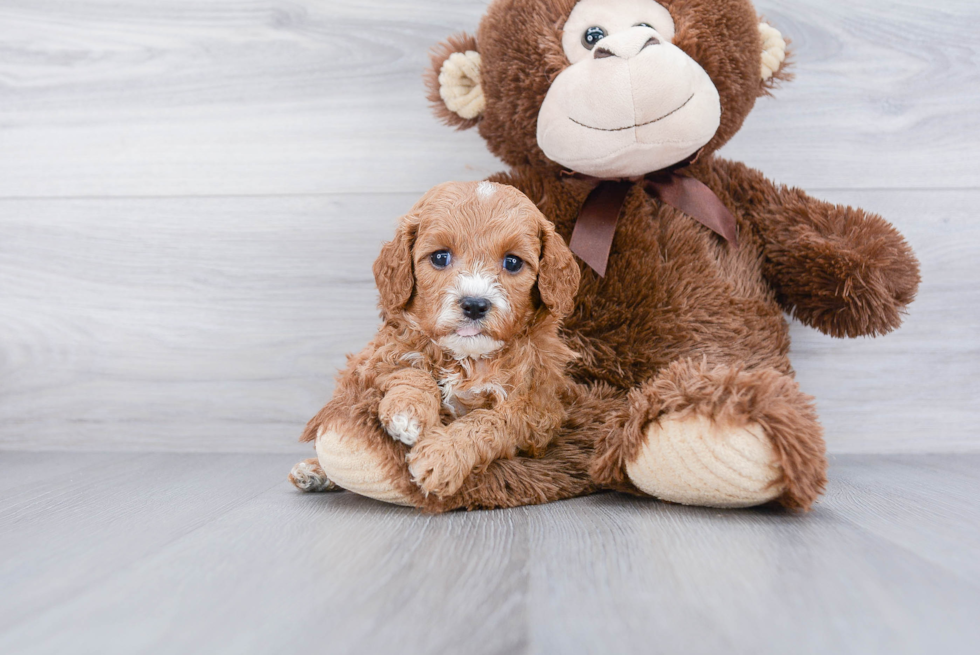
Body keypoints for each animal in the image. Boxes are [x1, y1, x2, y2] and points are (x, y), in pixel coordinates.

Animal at [290, 179, 580, 498]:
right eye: (440, 257)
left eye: (513, 262)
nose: (475, 304)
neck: (466, 357)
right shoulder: (377, 359)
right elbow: (412, 372)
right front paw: (407, 413)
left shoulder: (536, 409)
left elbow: (487, 421)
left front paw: (442, 454)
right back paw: (315, 470)